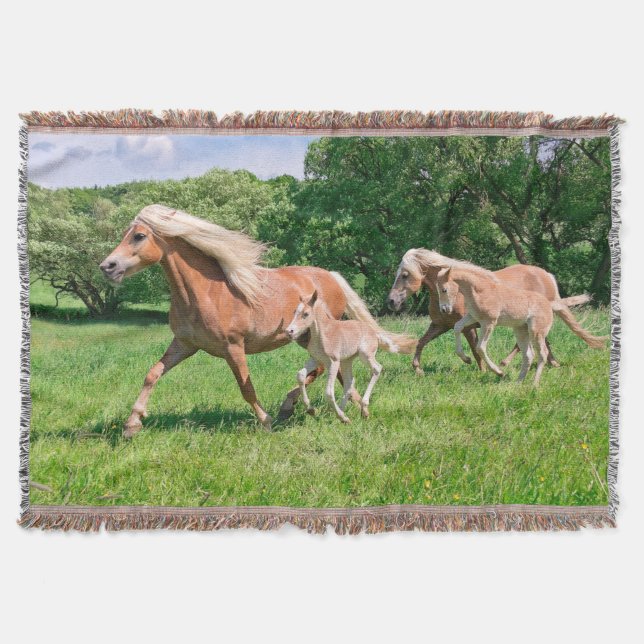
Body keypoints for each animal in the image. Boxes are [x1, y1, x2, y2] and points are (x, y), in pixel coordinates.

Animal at [285, 290, 416, 423]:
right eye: (294, 312)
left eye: (305, 314)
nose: (289, 331)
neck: (322, 334)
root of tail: (374, 333)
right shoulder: (316, 359)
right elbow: (300, 375)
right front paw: (311, 410)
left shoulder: (333, 362)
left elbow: (328, 392)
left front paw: (340, 417)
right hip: (347, 361)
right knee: (350, 381)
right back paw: (344, 413)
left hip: (365, 355)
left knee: (377, 368)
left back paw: (360, 409)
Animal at [387, 248, 577, 375]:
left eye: (404, 275)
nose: (391, 301)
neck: (457, 290)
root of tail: (547, 276)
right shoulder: (440, 325)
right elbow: (421, 342)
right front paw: (418, 368)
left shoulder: (469, 327)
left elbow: (475, 349)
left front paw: (481, 368)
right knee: (541, 340)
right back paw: (552, 363)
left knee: (528, 342)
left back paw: (506, 363)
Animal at [434, 260, 607, 385]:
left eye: (444, 289)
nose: (444, 309)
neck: (480, 290)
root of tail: (549, 304)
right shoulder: (473, 317)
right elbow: (457, 327)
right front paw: (466, 358)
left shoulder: (489, 322)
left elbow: (480, 347)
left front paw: (499, 372)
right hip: (521, 330)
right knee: (529, 354)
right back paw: (518, 382)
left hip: (536, 331)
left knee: (542, 353)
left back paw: (534, 383)